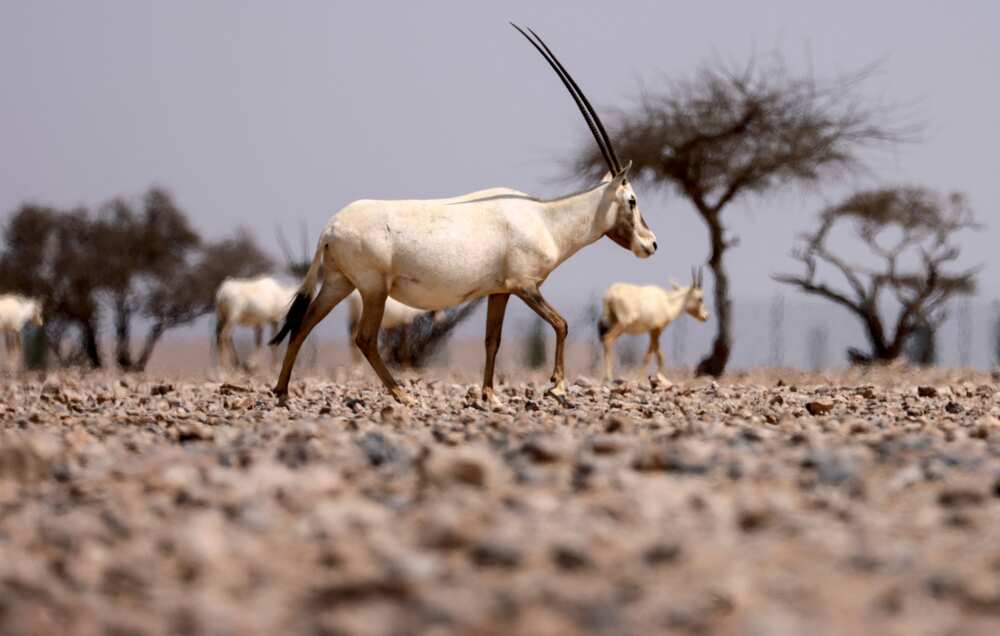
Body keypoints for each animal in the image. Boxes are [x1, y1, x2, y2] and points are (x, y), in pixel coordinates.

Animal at [270, 26, 656, 408]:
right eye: (632, 200)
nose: (651, 244)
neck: (546, 219)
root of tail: (330, 227)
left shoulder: (500, 291)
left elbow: (492, 341)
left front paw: (488, 394)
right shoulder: (525, 285)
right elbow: (561, 324)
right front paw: (557, 386)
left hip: (340, 283)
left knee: (303, 325)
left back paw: (282, 392)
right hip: (373, 288)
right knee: (364, 338)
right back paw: (400, 394)